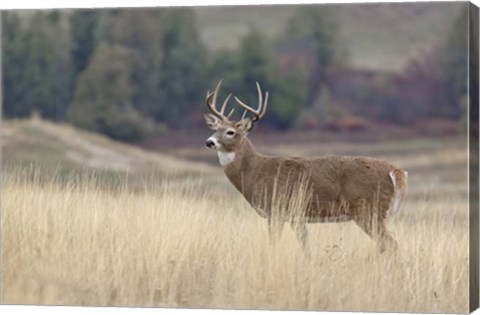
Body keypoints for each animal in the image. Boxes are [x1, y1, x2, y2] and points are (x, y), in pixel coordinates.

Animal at [203, 80, 408, 253]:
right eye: (215, 129)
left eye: (230, 132)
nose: (209, 142)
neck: (255, 171)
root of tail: (396, 171)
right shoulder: (297, 216)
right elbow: (305, 246)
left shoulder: (277, 209)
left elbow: (275, 244)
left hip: (368, 210)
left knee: (391, 245)